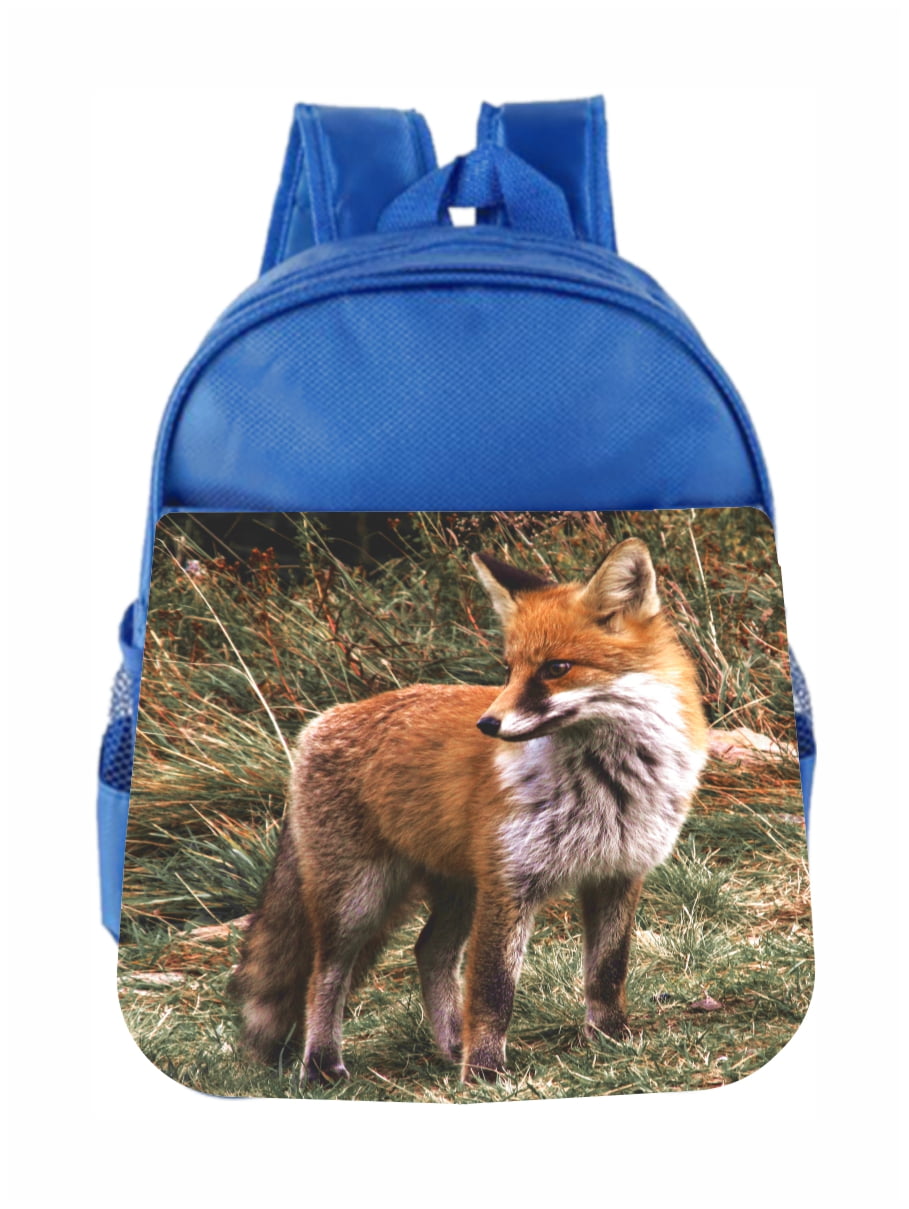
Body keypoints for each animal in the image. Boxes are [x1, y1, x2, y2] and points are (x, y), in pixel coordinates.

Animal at [230, 537, 708, 1084]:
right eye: (508, 669)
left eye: (556, 668)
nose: (488, 724)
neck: (607, 785)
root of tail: (319, 723)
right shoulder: (509, 883)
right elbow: (493, 989)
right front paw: (483, 1071)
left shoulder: (618, 874)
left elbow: (607, 972)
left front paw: (609, 1039)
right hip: (357, 900)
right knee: (324, 974)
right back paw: (323, 1063)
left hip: (458, 890)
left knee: (429, 952)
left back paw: (449, 1043)